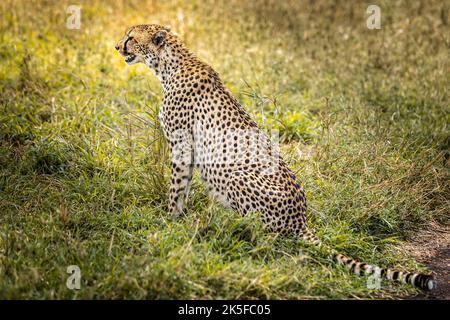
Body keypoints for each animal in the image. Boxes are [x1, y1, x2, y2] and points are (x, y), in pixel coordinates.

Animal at [115, 24, 436, 290]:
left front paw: (169, 221)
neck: (170, 64)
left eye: (131, 37)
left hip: (237, 177)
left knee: (264, 235)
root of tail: (301, 220)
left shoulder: (182, 144)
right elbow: (183, 187)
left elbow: (176, 187)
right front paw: (178, 220)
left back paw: (223, 226)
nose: (118, 47)